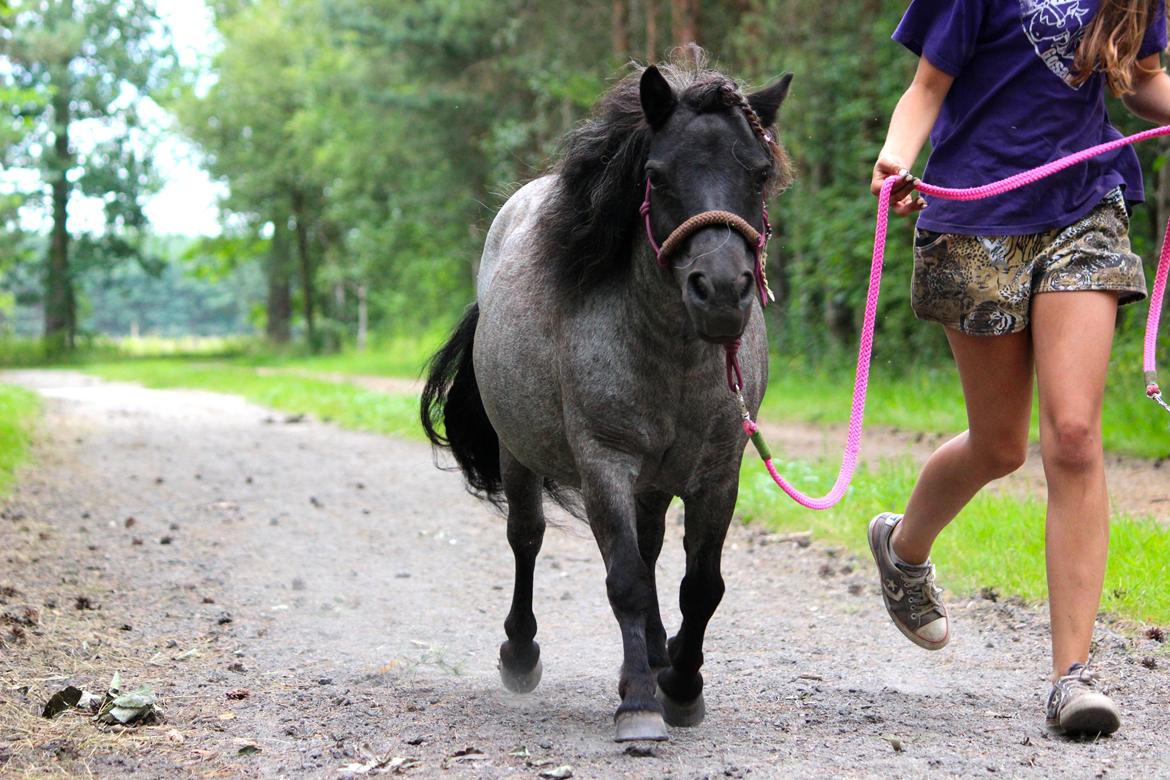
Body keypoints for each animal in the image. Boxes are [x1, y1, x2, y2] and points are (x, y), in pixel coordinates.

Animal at [423, 51, 795, 743]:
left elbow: (699, 586)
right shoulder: (604, 463)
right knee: (529, 539)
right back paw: (523, 654)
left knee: (650, 553)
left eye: (759, 173)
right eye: (656, 173)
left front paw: (681, 684)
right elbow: (624, 580)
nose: (721, 291)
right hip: (522, 457)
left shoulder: (717, 472)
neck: (673, 358)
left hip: (654, 482)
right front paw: (641, 703)